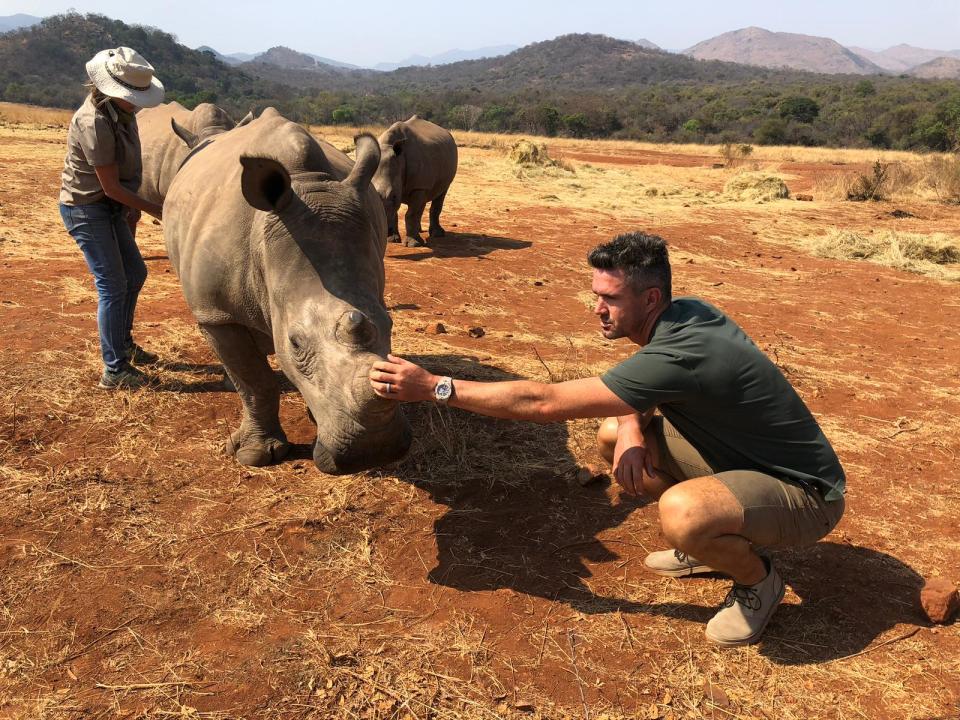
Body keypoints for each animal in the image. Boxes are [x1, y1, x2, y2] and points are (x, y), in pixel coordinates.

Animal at [163, 107, 410, 476]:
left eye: (391, 325)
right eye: (295, 343)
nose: (374, 451)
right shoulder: (216, 313)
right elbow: (254, 382)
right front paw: (255, 456)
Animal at [372, 114, 458, 246]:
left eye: (394, 196)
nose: (385, 230)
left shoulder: (419, 186)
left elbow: (411, 214)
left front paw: (413, 244)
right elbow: (399, 213)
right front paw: (392, 240)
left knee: (441, 193)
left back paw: (437, 234)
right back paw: (420, 231)